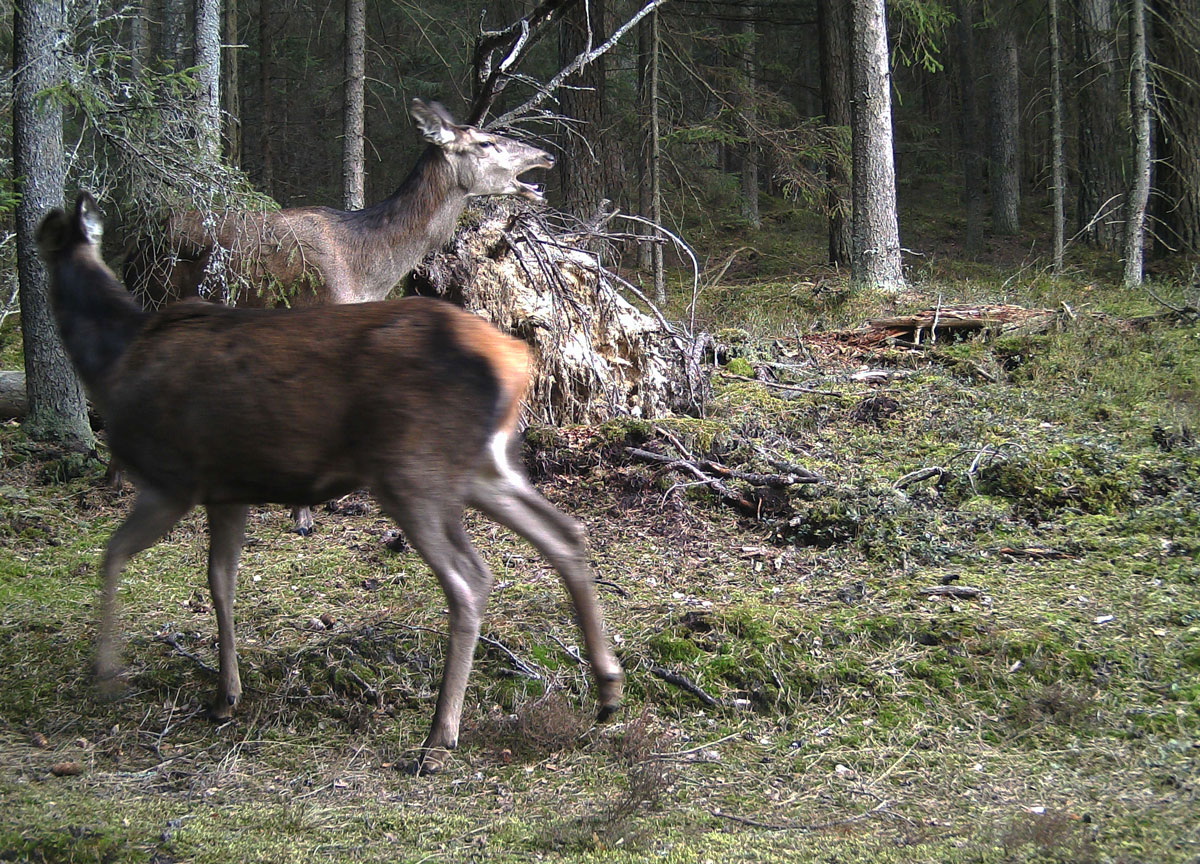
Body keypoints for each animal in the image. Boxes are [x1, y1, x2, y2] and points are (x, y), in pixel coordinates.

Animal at [39, 192, 623, 775]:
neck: (115, 360)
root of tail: (515, 361)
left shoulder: (172, 478)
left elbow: (113, 555)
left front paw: (107, 675)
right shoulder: (228, 489)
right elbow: (220, 581)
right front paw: (226, 695)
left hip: (411, 471)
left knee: (471, 577)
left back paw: (439, 737)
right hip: (482, 466)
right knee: (565, 532)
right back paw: (607, 689)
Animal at [122, 98, 555, 536]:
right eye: (485, 141)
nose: (547, 155)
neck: (368, 268)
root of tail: (135, 243)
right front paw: (302, 514)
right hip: (155, 295)